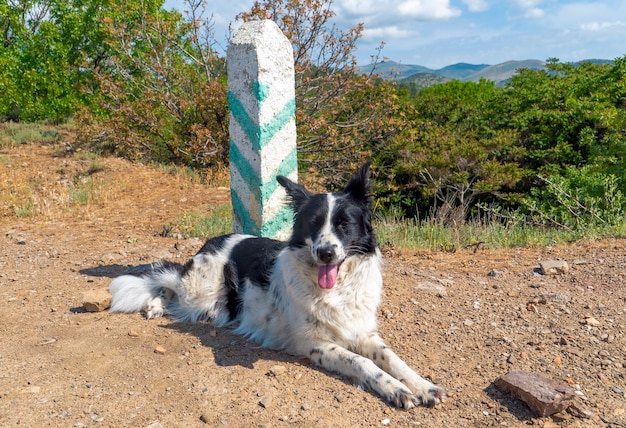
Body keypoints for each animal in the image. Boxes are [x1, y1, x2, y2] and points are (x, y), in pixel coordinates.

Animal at [109, 163, 446, 408]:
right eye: (313, 223)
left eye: (344, 225)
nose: (326, 253)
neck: (336, 289)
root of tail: (212, 240)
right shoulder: (314, 344)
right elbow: (362, 361)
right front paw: (395, 389)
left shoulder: (362, 331)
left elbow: (391, 358)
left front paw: (421, 385)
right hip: (199, 292)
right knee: (166, 280)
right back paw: (154, 305)